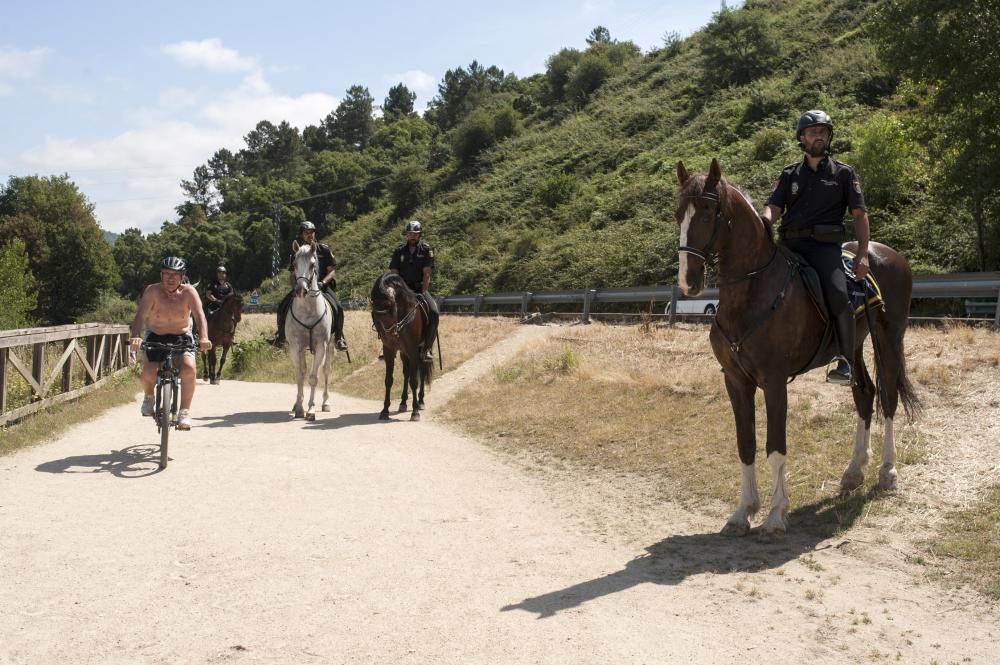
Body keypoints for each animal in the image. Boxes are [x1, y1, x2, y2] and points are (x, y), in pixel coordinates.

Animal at [288, 241, 334, 420]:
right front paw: (299, 408)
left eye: (313, 265)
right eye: (294, 264)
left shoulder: (321, 346)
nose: (301, 290)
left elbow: (314, 377)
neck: (308, 310)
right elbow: (299, 375)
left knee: (326, 370)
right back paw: (296, 403)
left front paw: (311, 410)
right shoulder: (295, 347)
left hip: (330, 346)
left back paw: (326, 403)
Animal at [368, 272, 430, 420]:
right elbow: (388, 380)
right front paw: (385, 410)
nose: (391, 334)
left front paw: (415, 412)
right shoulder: (389, 351)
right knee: (406, 373)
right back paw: (403, 403)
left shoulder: (413, 351)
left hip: (421, 351)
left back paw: (420, 402)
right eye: (375, 316)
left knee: (422, 371)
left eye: (392, 310)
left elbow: (414, 381)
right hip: (403, 352)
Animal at [676, 160, 916, 540]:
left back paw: (887, 472)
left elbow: (775, 447)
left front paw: (775, 515)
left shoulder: (774, 381)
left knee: (889, 400)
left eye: (709, 212)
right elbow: (746, 445)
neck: (751, 292)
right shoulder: (736, 381)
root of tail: (881, 252)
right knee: (865, 394)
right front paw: (743, 512)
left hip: (889, 340)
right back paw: (854, 471)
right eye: (678, 215)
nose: (689, 281)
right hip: (854, 346)